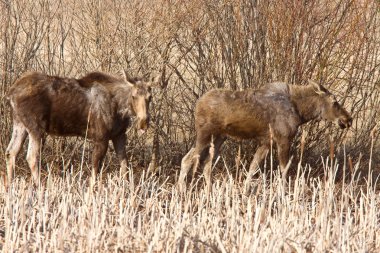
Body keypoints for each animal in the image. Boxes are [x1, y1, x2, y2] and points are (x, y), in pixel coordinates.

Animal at [4, 70, 156, 185]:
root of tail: (10, 93)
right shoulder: (101, 137)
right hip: (36, 127)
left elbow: (124, 164)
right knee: (31, 156)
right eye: (134, 96)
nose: (143, 121)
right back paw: (39, 186)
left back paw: (10, 185)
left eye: (150, 97)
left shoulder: (119, 135)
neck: (121, 108)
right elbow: (95, 168)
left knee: (11, 152)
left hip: (19, 124)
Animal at [180, 80, 352, 191]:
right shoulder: (283, 139)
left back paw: (208, 191)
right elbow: (284, 169)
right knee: (188, 159)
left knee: (206, 163)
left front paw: (245, 190)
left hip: (218, 137)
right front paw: (284, 192)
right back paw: (181, 190)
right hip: (205, 134)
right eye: (334, 102)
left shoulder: (266, 142)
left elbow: (253, 167)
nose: (348, 119)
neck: (302, 112)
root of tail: (197, 104)